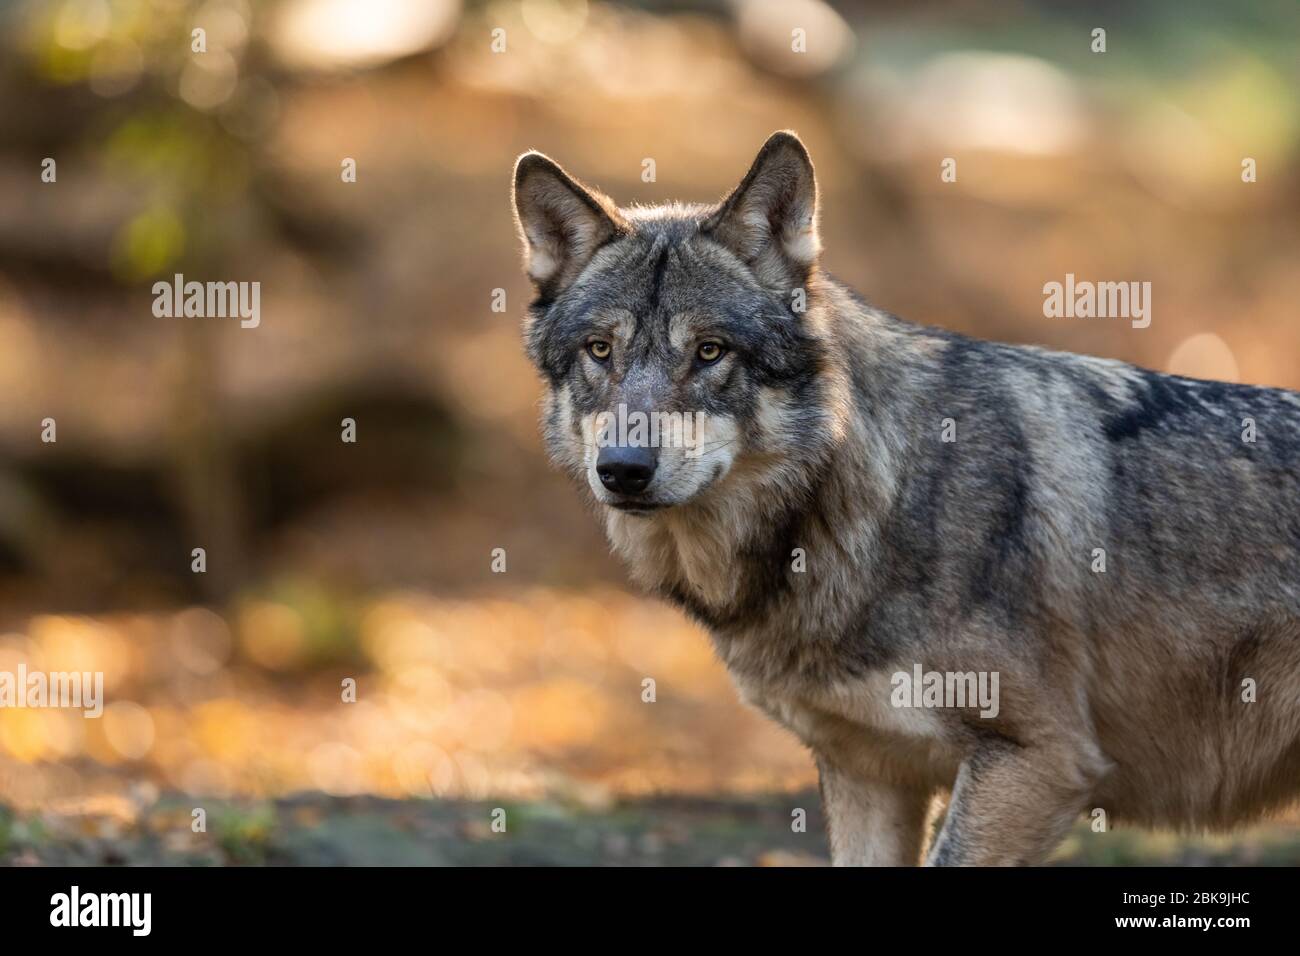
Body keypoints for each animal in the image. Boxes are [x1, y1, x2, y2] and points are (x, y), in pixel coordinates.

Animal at [510, 131, 1300, 865]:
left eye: (709, 351)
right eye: (600, 351)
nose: (623, 468)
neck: (868, 503)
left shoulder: (1039, 762)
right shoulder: (869, 772)